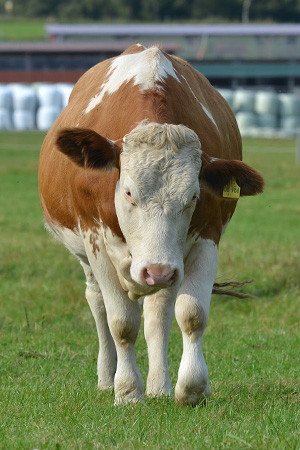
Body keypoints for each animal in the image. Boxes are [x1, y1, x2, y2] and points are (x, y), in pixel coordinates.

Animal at [38, 44, 264, 406]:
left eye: (193, 196)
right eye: (129, 192)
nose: (157, 271)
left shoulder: (206, 238)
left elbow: (191, 314)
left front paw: (192, 387)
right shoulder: (95, 238)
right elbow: (121, 322)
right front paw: (128, 391)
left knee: (158, 312)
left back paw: (159, 386)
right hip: (92, 257)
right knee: (97, 302)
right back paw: (107, 377)